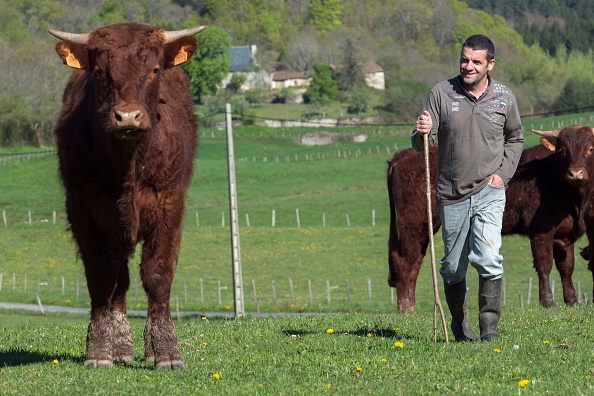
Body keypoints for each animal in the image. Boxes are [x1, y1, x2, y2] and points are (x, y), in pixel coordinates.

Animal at [47, 23, 204, 370]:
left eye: (155, 69)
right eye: (99, 72)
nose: (128, 116)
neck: (128, 165)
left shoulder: (170, 205)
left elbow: (157, 275)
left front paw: (167, 351)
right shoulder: (82, 210)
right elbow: (101, 277)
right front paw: (99, 350)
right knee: (118, 279)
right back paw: (119, 345)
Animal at [386, 124, 592, 312]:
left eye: (590, 149)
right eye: (563, 150)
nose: (575, 173)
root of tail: (404, 155)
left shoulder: (563, 235)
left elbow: (567, 267)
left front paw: (573, 301)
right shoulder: (541, 231)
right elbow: (544, 264)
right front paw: (548, 302)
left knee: (414, 261)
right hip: (414, 224)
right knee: (404, 260)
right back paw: (406, 308)